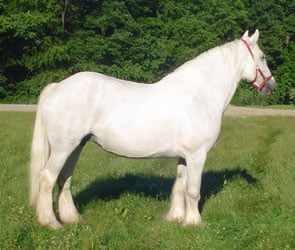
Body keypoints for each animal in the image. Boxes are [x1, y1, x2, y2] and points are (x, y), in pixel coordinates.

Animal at [29, 29, 276, 229]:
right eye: (263, 57)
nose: (272, 86)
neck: (201, 94)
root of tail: (57, 87)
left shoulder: (185, 156)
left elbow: (180, 186)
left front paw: (176, 218)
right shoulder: (197, 155)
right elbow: (193, 190)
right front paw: (194, 223)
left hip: (76, 146)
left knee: (65, 179)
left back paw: (72, 218)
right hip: (63, 148)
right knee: (47, 178)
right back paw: (51, 223)